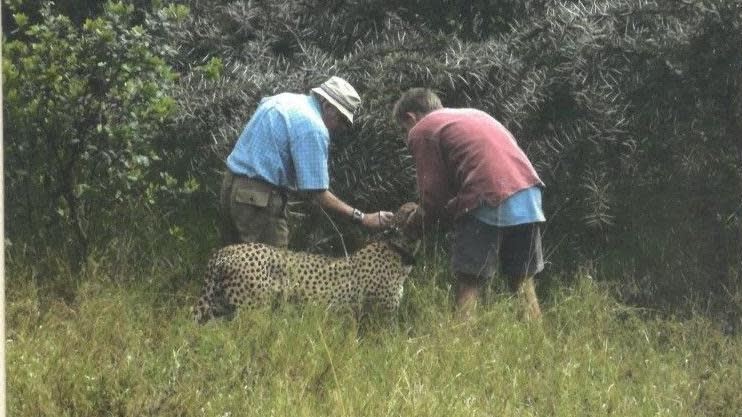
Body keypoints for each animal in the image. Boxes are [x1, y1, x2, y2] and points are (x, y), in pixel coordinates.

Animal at [195, 202, 422, 322]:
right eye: (412, 210)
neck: (397, 249)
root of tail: (224, 251)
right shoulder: (380, 317)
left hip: (219, 308)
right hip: (252, 310)